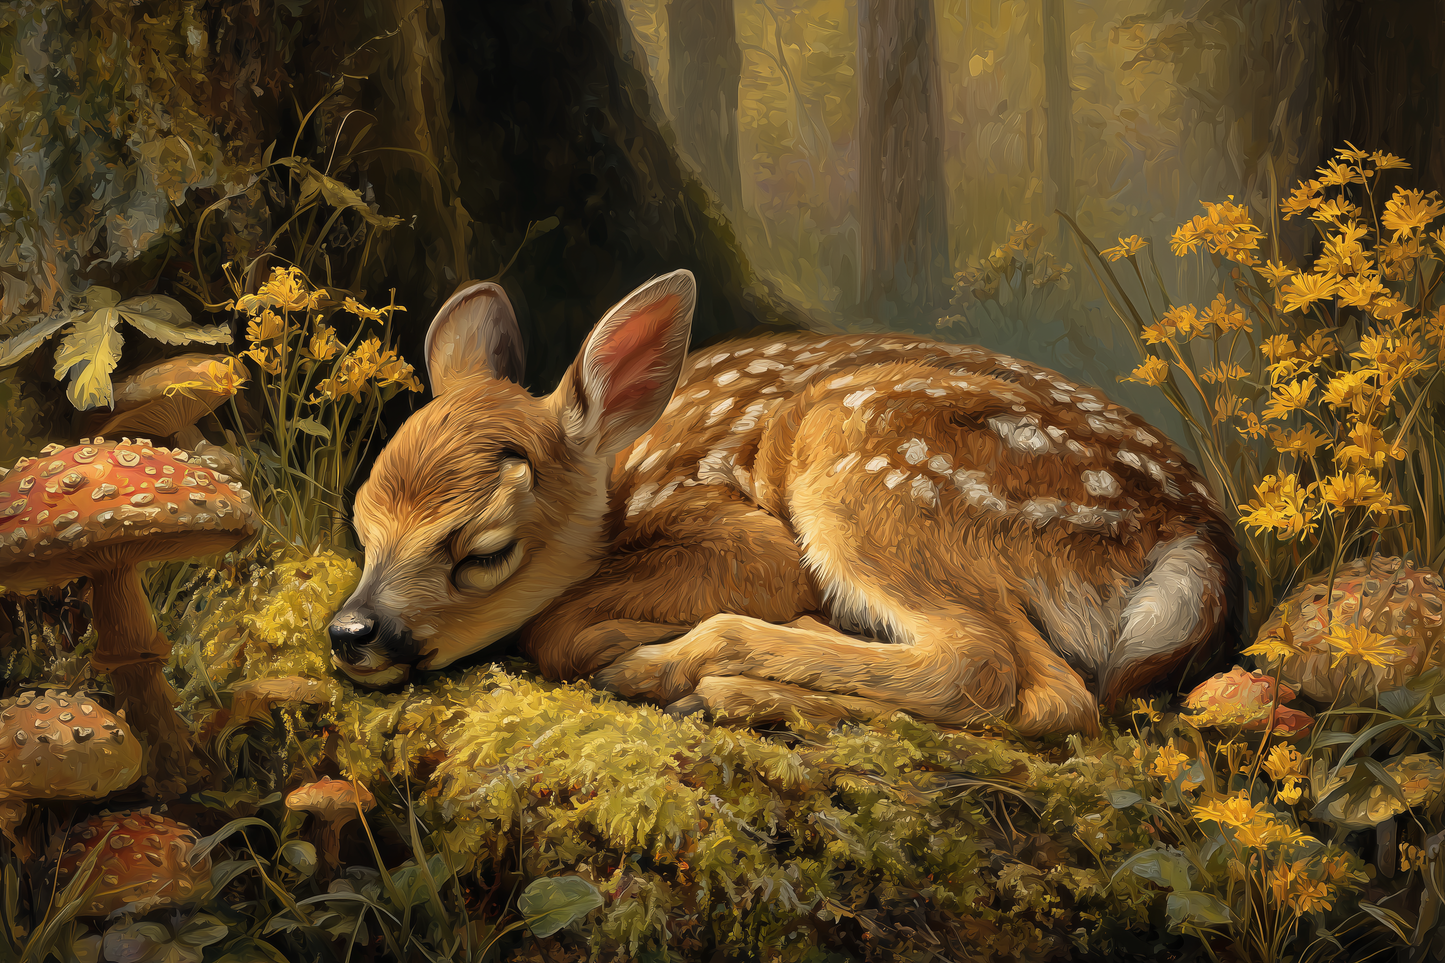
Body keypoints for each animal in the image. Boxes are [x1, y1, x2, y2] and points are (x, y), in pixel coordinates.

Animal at [328, 269, 1240, 736]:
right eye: (361, 524)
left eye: (483, 550)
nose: (351, 632)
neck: (626, 487)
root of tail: (1188, 534)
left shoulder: (744, 537)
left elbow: (556, 627)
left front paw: (618, 641)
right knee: (1046, 693)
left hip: (864, 466)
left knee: (1000, 673)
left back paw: (694, 678)